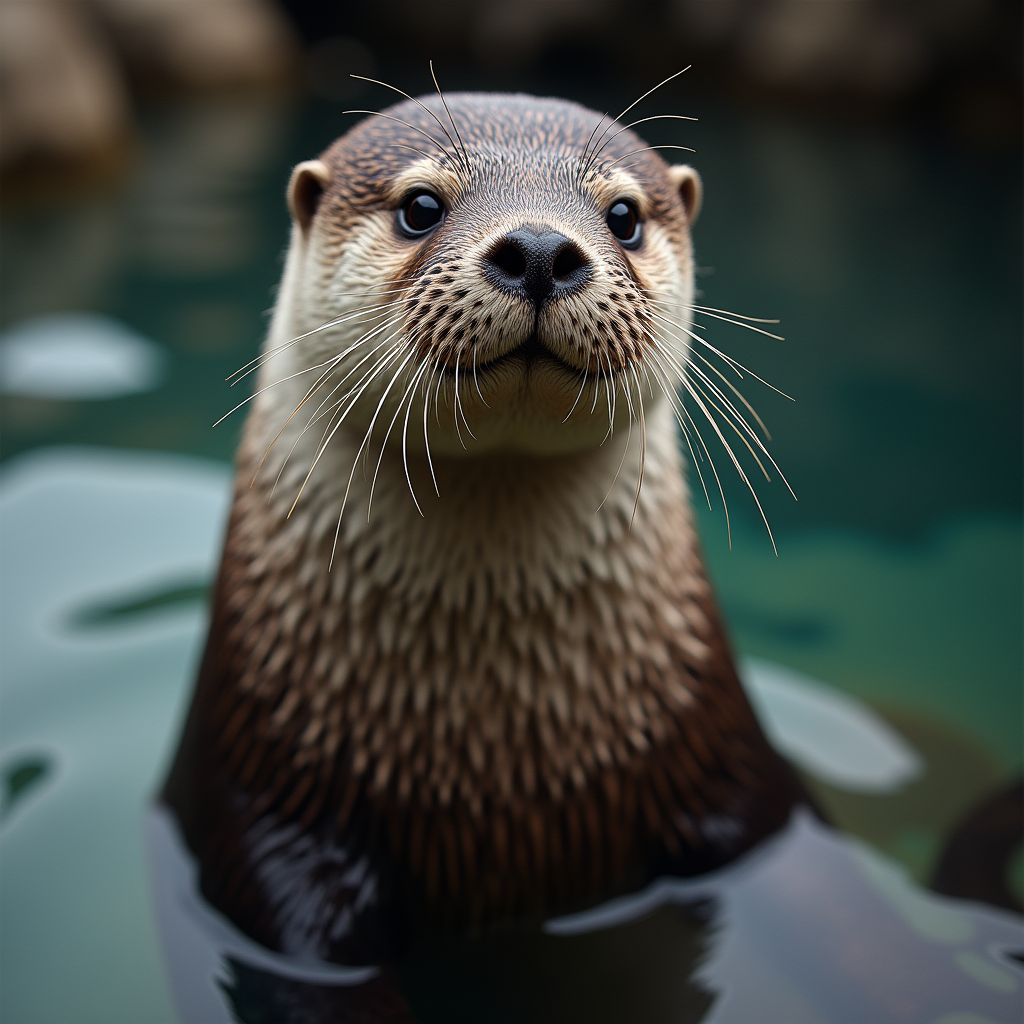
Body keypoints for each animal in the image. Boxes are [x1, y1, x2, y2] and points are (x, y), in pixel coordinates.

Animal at [155, 89, 1024, 1022]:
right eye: (420, 206)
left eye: (624, 215)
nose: (540, 247)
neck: (498, 780)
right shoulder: (268, 835)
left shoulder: (737, 782)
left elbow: (852, 925)